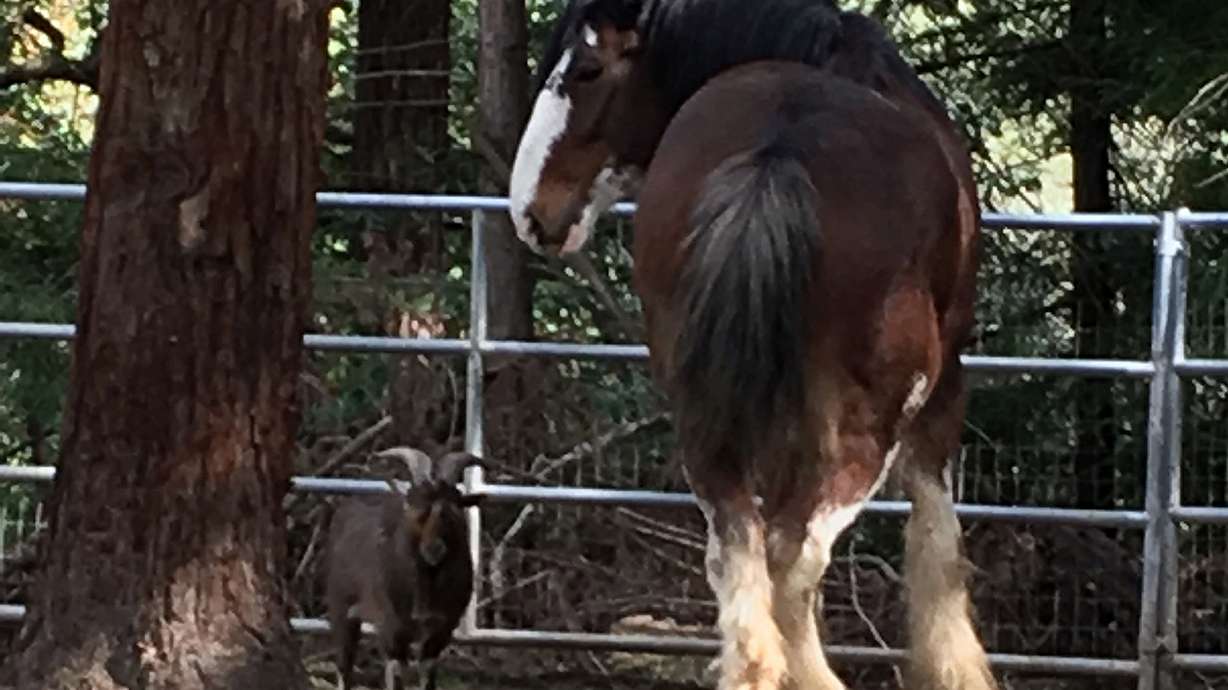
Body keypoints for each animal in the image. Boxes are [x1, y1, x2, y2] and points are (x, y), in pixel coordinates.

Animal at [325, 446, 484, 690]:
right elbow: (397, 674)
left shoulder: (441, 630)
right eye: (413, 504)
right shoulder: (391, 628)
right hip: (341, 607)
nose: (434, 549)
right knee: (345, 665)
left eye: (454, 507)